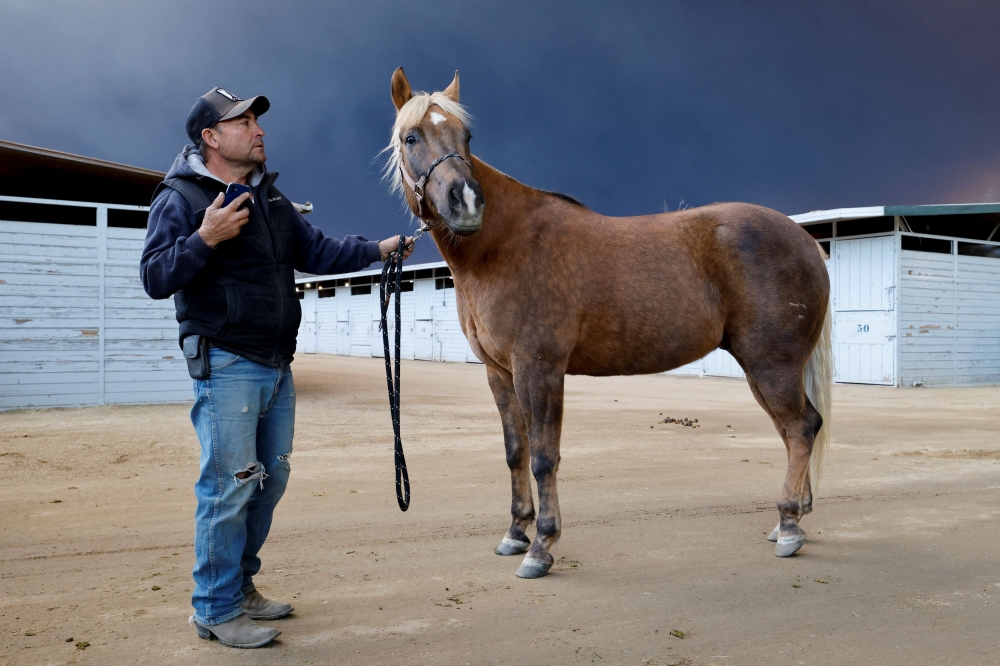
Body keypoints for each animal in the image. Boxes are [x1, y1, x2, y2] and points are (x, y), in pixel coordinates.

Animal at [378, 68, 832, 576]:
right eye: (412, 137)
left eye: (467, 136)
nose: (468, 202)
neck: (503, 245)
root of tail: (805, 240)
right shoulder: (500, 373)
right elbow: (516, 453)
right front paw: (515, 534)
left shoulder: (540, 369)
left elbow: (543, 457)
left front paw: (541, 547)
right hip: (764, 370)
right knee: (793, 429)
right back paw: (790, 520)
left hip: (771, 365)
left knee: (801, 428)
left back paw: (789, 527)